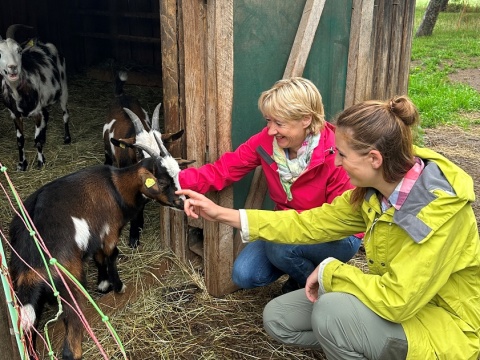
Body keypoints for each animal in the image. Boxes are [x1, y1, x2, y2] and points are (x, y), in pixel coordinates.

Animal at [0, 24, 71, 171]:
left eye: (19, 50)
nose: (12, 67)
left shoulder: (37, 112)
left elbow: (37, 139)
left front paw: (41, 162)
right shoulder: (14, 115)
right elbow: (20, 141)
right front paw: (22, 165)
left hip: (63, 85)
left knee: (65, 113)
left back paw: (67, 138)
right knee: (47, 115)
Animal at [8, 136, 188, 360]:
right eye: (162, 182)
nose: (183, 202)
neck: (116, 186)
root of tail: (31, 264)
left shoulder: (96, 234)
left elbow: (99, 257)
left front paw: (103, 284)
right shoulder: (109, 231)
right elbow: (111, 255)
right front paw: (117, 286)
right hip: (71, 288)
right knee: (71, 348)